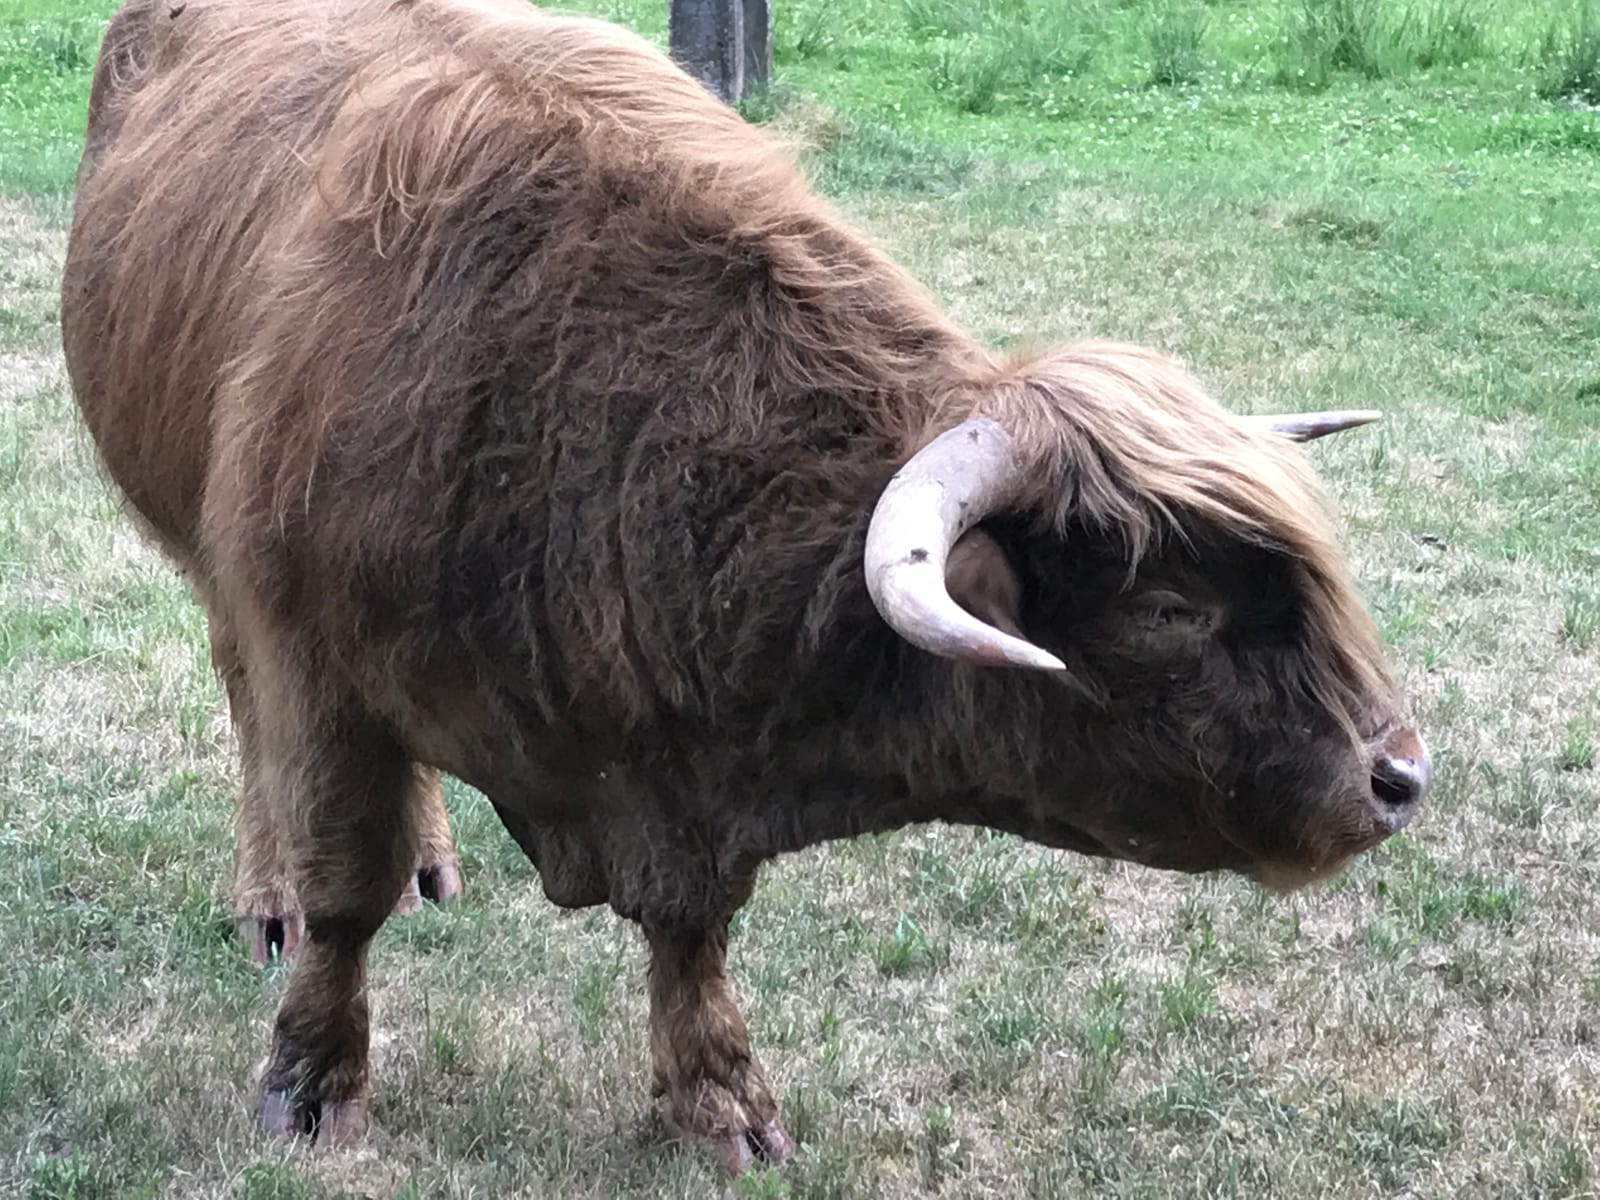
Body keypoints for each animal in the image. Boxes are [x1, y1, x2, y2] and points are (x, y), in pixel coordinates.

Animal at [61, 0, 1430, 1172]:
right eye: (1168, 608)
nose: (1399, 775)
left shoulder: (681, 781)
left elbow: (692, 936)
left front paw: (720, 1104)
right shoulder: (319, 670)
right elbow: (344, 888)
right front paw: (308, 1085)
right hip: (210, 568)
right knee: (249, 720)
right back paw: (269, 897)